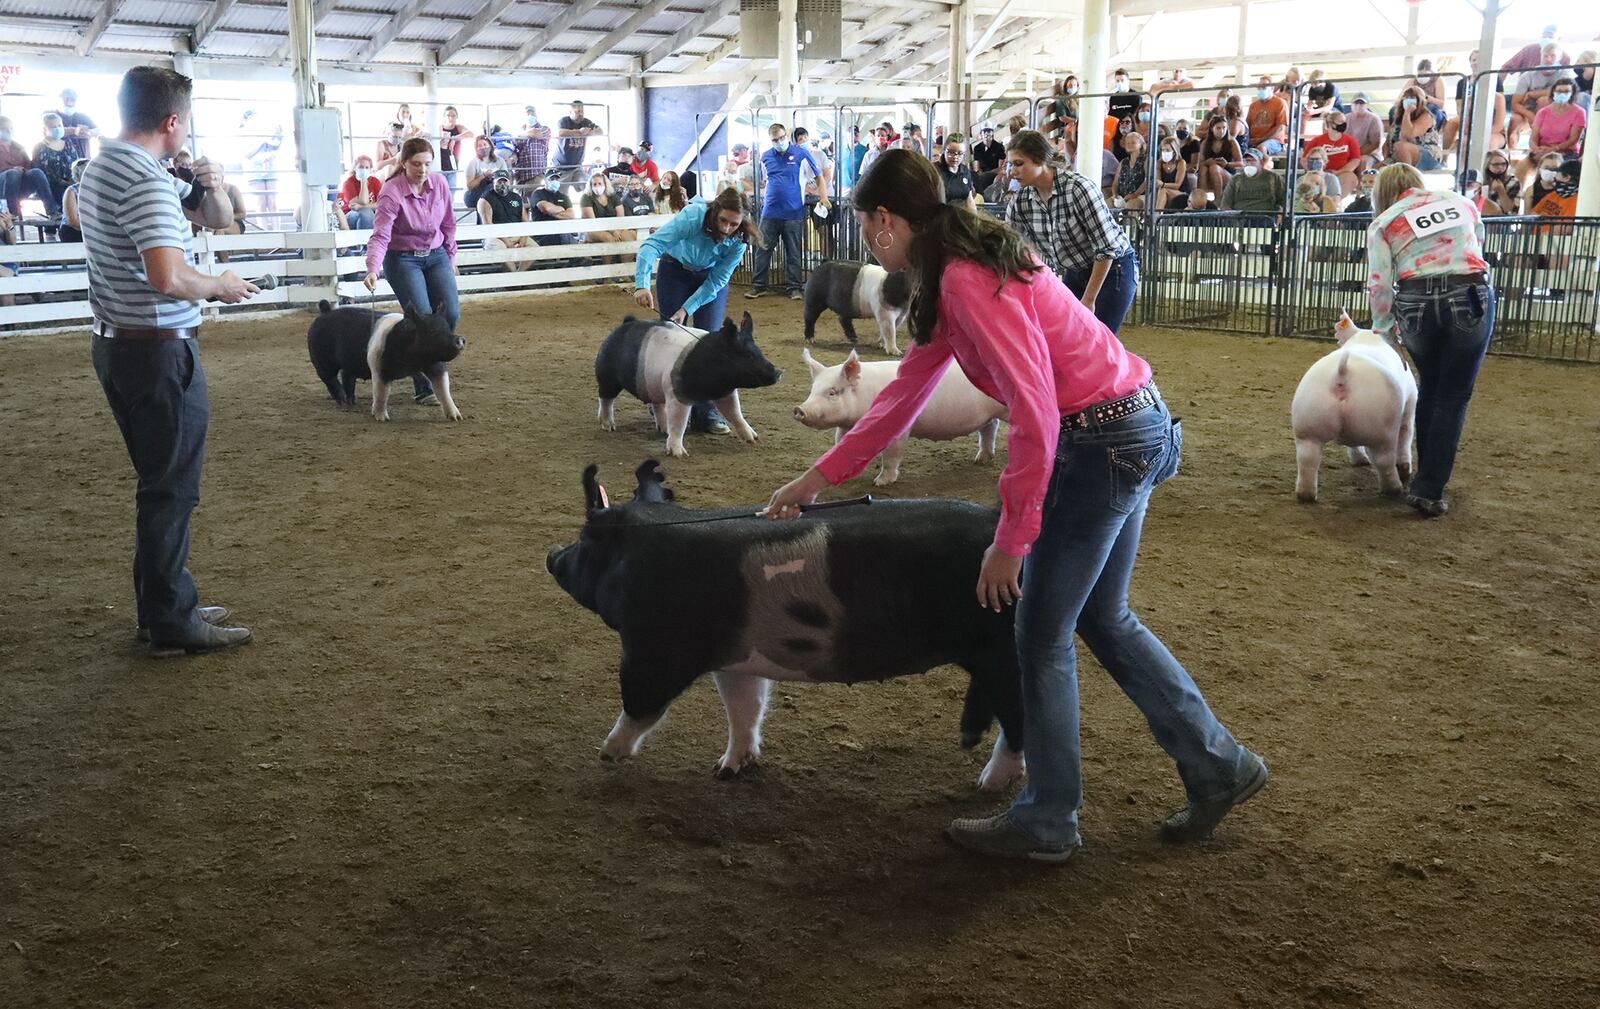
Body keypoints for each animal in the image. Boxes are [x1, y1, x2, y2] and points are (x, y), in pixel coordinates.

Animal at [547, 460, 1024, 793]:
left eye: (584, 541)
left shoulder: (654, 649)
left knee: (1018, 717)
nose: (551, 555)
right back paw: (968, 740)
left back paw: (988, 783)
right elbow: (745, 708)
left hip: (1001, 648)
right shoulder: (736, 660)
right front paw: (727, 769)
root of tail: (992, 521)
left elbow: (639, 703)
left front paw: (607, 755)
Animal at [595, 313, 780, 460]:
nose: (778, 372)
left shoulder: (725, 392)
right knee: (605, 399)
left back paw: (663, 429)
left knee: (657, 405)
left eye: (759, 351)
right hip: (607, 376)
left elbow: (735, 413)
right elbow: (679, 423)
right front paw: (679, 454)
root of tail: (625, 323)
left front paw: (753, 439)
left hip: (652, 384)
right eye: (748, 355)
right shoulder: (677, 394)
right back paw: (608, 426)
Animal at [793, 348, 1004, 486]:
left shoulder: (898, 427)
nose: (799, 409)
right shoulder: (847, 426)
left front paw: (880, 483)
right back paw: (981, 460)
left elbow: (891, 454)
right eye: (812, 390)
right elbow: (841, 443)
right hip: (987, 416)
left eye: (832, 392)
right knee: (990, 427)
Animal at [1292, 310, 1420, 502]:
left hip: (1308, 418)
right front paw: (1405, 469)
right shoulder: (1411, 400)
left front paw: (1359, 461)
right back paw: (1394, 489)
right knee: (1383, 459)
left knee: (1307, 458)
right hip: (1381, 425)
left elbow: (1352, 443)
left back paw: (1306, 495)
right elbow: (1406, 432)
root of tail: (1342, 373)